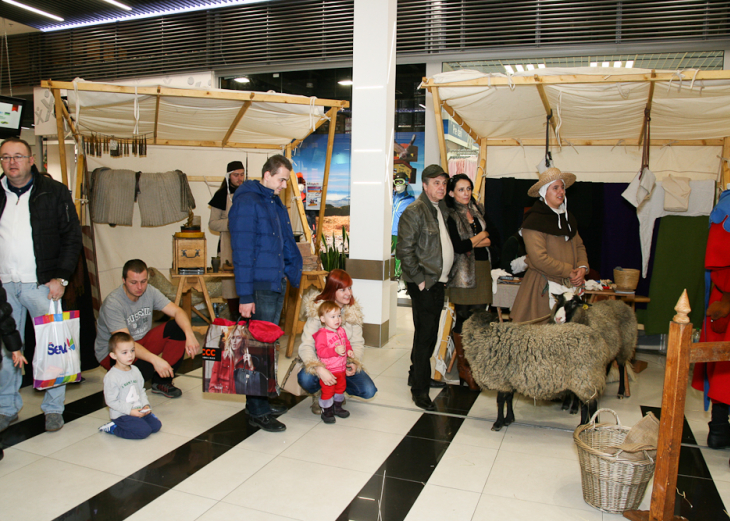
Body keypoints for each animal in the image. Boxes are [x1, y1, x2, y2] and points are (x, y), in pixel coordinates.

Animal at [460, 310, 608, 428]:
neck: (485, 333)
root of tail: (599, 342)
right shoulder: (509, 380)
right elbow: (509, 399)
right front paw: (509, 419)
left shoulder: (501, 380)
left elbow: (501, 401)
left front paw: (498, 423)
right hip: (583, 381)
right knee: (585, 405)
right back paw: (582, 425)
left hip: (586, 378)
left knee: (592, 406)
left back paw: (593, 427)